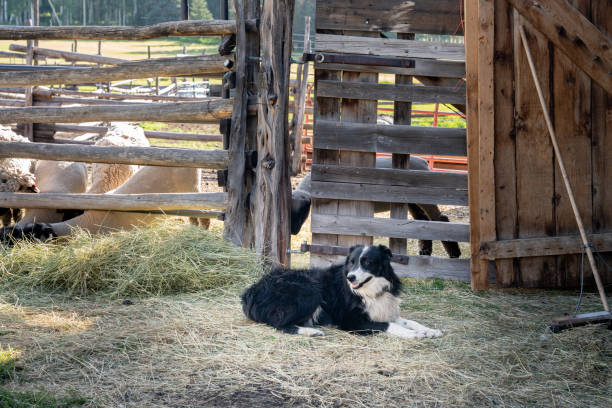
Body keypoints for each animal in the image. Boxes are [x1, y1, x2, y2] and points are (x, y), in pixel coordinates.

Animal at [241, 245, 442, 338]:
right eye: (351, 262)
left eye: (367, 262)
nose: (350, 277)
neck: (369, 292)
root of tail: (252, 290)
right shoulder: (352, 321)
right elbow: (389, 325)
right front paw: (413, 334)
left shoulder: (383, 311)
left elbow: (409, 321)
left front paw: (430, 330)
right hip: (309, 289)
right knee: (278, 323)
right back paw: (310, 332)